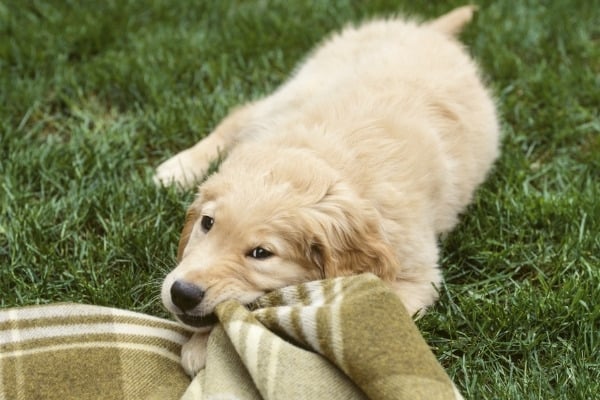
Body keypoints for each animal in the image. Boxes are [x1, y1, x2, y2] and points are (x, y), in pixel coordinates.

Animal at [157, 5, 500, 376]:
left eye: (261, 253)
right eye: (206, 224)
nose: (183, 293)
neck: (328, 159)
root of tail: (430, 31)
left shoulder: (409, 280)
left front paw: (204, 346)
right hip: (301, 85)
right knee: (242, 114)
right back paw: (179, 168)